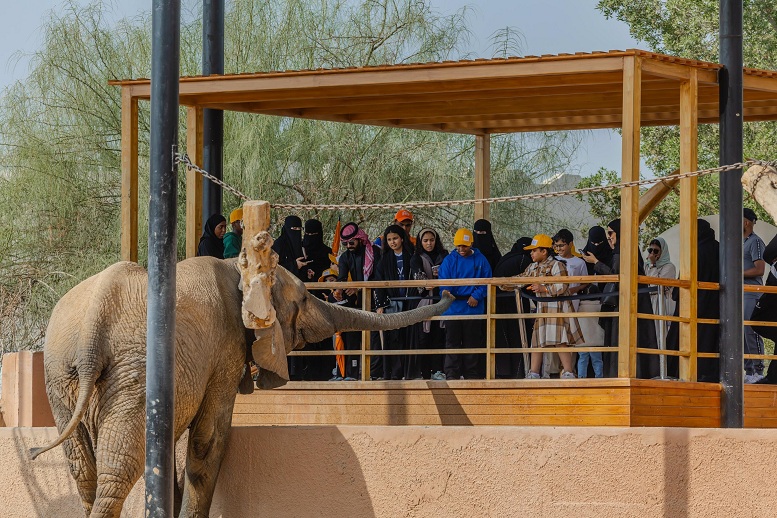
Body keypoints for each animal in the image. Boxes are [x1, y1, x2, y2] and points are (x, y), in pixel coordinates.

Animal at [30, 234, 452, 516]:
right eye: (302, 299)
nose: (447, 295)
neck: (240, 266)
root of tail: (92, 327)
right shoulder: (223, 352)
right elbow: (207, 440)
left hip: (62, 379)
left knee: (84, 471)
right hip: (131, 370)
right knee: (118, 468)